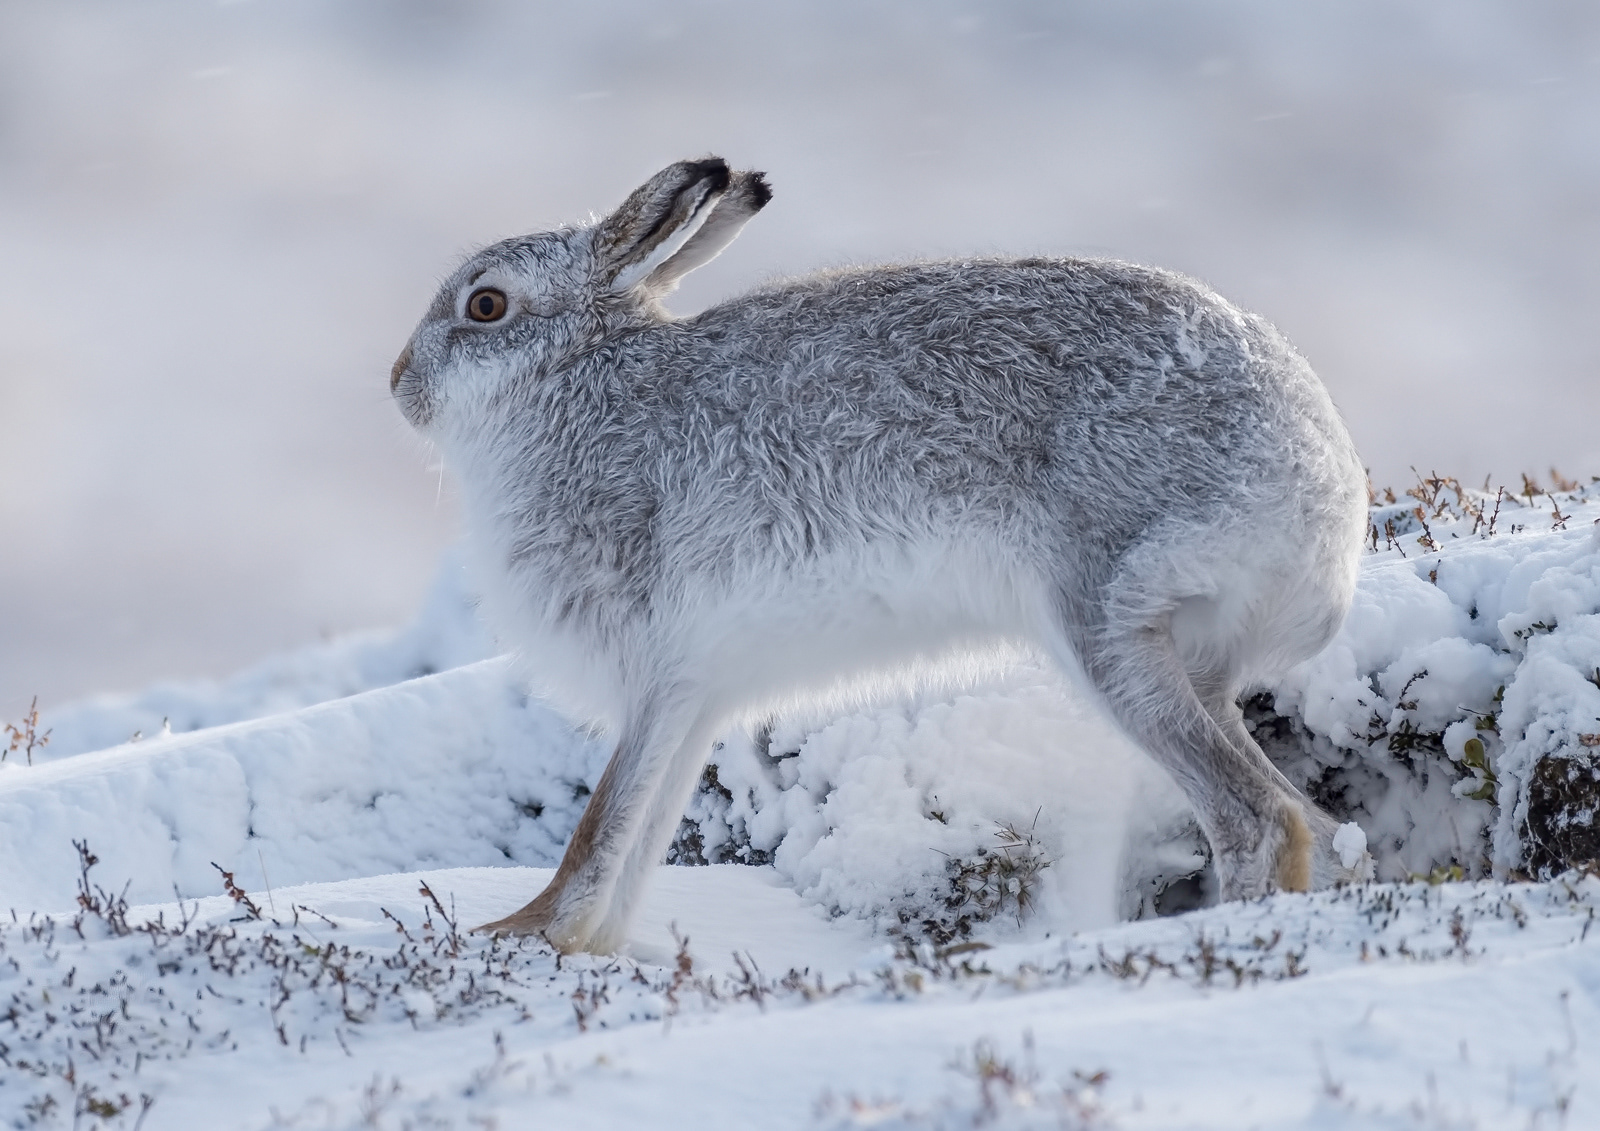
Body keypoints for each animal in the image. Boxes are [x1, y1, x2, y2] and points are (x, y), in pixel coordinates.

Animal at [390, 156, 1373, 954]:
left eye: (485, 305)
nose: (400, 385)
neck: (572, 380)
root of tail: (1318, 474)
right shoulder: (694, 695)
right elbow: (642, 833)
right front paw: (601, 946)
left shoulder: (658, 672)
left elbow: (600, 825)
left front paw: (524, 931)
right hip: (1188, 661)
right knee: (1324, 830)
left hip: (1105, 628)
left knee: (1258, 819)